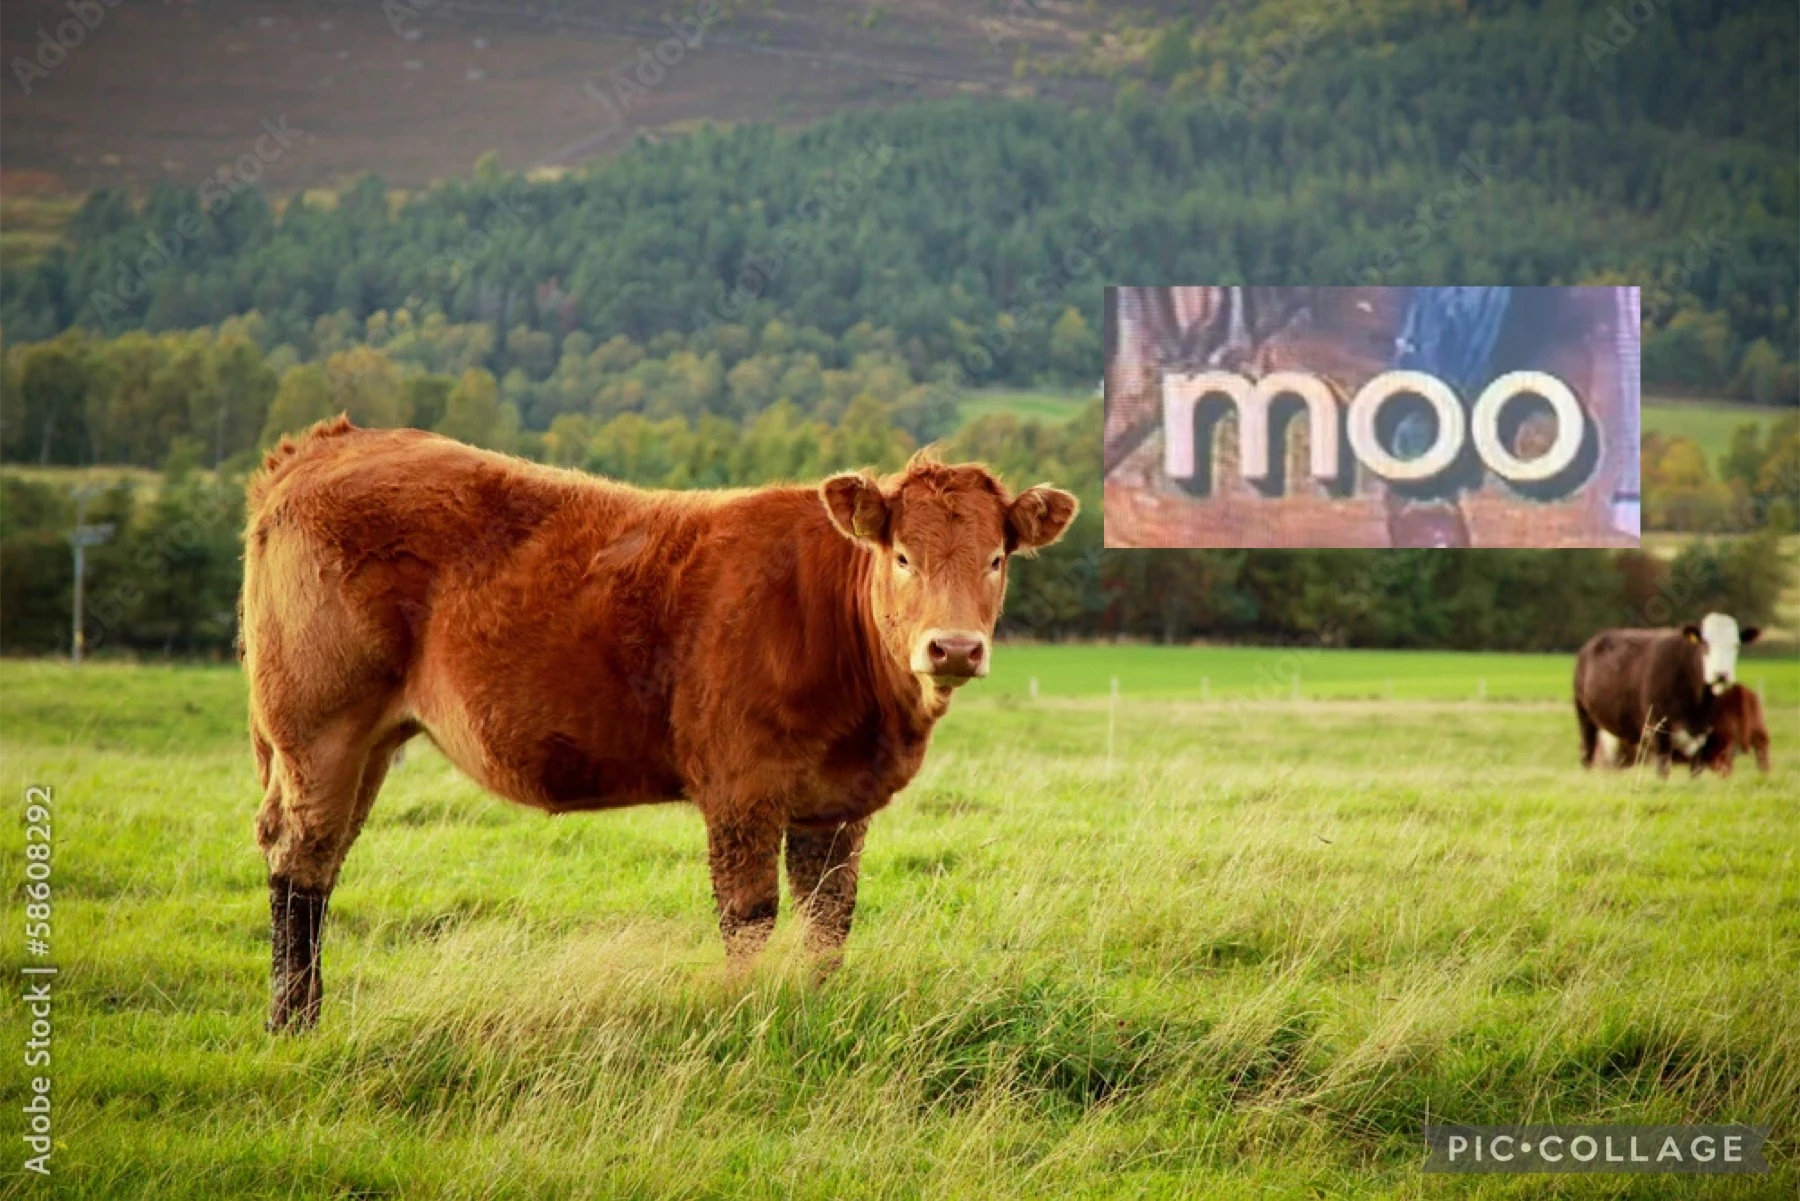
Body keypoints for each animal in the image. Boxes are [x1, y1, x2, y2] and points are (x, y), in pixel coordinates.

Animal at [240, 417, 1077, 1031]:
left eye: (997, 557)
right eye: (903, 555)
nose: (955, 647)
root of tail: (333, 441)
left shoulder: (836, 802)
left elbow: (829, 915)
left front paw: (819, 1010)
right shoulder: (741, 788)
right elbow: (749, 914)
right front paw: (744, 1016)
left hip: (366, 741)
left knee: (327, 858)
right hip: (319, 728)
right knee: (300, 857)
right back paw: (292, 1022)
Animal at [1573, 613, 1760, 776]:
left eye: (1736, 645)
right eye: (1705, 644)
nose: (1721, 675)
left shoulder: (1702, 735)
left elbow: (1696, 772)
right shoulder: (1660, 731)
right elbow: (1663, 770)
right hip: (1586, 718)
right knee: (1587, 754)